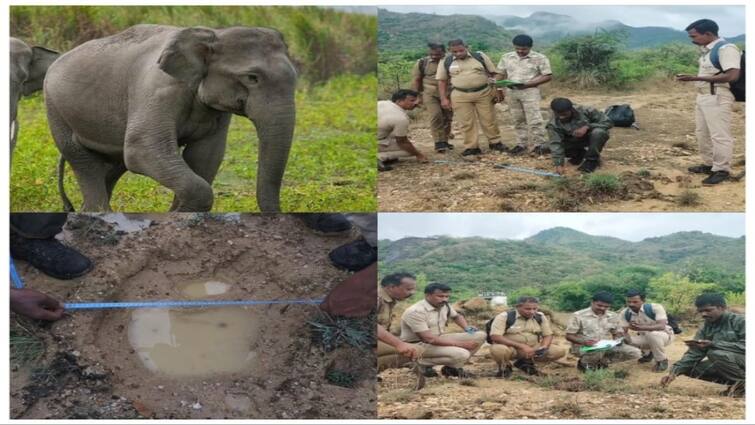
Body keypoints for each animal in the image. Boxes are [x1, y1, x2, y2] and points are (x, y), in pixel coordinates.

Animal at [43, 24, 298, 211]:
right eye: (252, 78)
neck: (213, 34)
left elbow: (205, 155)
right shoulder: (157, 89)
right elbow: (142, 149)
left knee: (113, 165)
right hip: (55, 109)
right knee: (84, 161)